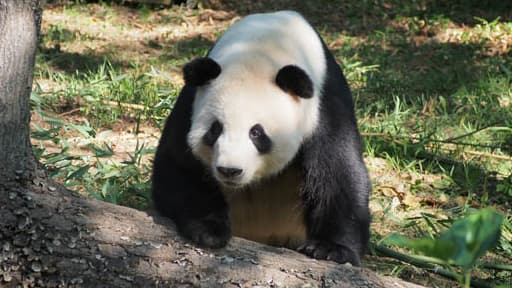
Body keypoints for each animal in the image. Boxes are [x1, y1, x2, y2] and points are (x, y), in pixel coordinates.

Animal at [152, 10, 372, 266]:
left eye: (256, 132)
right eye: (215, 129)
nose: (230, 170)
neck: (263, 46)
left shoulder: (325, 104)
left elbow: (339, 171)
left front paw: (331, 249)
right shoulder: (191, 101)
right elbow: (178, 165)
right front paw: (208, 229)